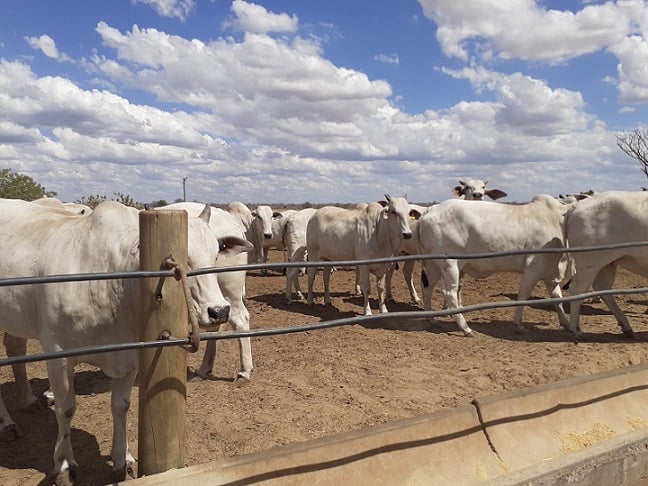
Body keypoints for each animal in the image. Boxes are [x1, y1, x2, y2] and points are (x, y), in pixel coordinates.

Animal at [158, 201, 254, 380]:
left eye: (216, 254)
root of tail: (227, 216)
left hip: (229, 293)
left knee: (240, 319)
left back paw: (244, 371)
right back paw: (205, 368)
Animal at [418, 194, 568, 334]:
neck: (556, 221)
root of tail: (432, 209)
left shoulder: (551, 274)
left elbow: (557, 298)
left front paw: (566, 323)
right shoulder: (533, 269)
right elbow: (523, 296)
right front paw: (518, 324)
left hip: (432, 265)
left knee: (427, 288)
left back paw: (432, 320)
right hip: (449, 264)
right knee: (449, 292)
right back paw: (465, 328)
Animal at [560, 191, 648, 338]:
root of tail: (576, 206)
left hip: (608, 263)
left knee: (603, 288)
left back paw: (626, 326)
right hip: (589, 264)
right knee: (577, 289)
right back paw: (575, 329)